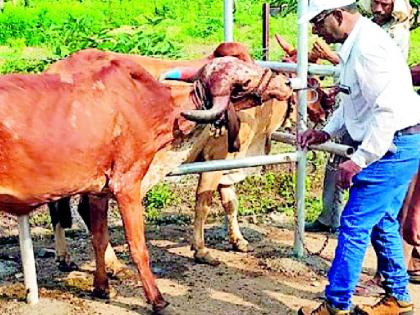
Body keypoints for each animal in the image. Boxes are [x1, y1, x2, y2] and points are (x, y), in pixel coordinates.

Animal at [0, 48, 290, 312]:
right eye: (245, 81)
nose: (285, 84)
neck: (147, 105)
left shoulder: (98, 190)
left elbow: (99, 238)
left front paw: (102, 287)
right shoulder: (128, 185)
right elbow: (139, 246)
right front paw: (157, 298)